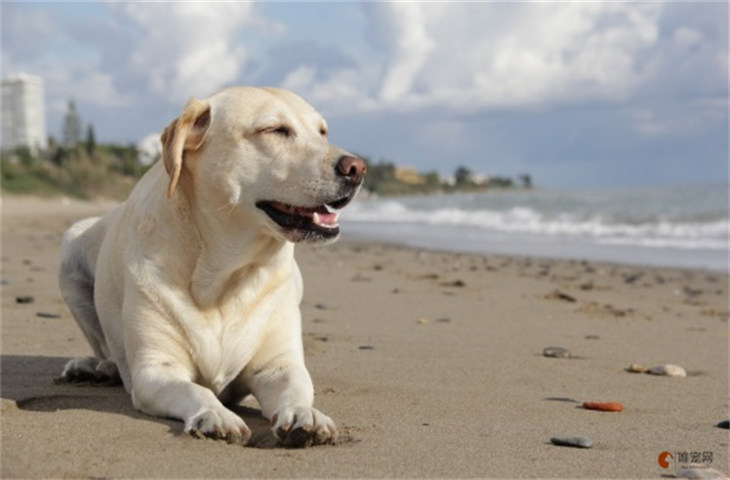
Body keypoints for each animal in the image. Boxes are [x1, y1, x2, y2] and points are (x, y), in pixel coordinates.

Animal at [58, 85, 364, 446]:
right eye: (275, 130)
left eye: (322, 132)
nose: (357, 168)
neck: (224, 275)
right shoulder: (155, 370)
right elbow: (196, 391)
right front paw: (215, 414)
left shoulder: (279, 365)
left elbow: (296, 388)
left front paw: (306, 414)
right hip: (70, 245)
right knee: (105, 349)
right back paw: (95, 368)